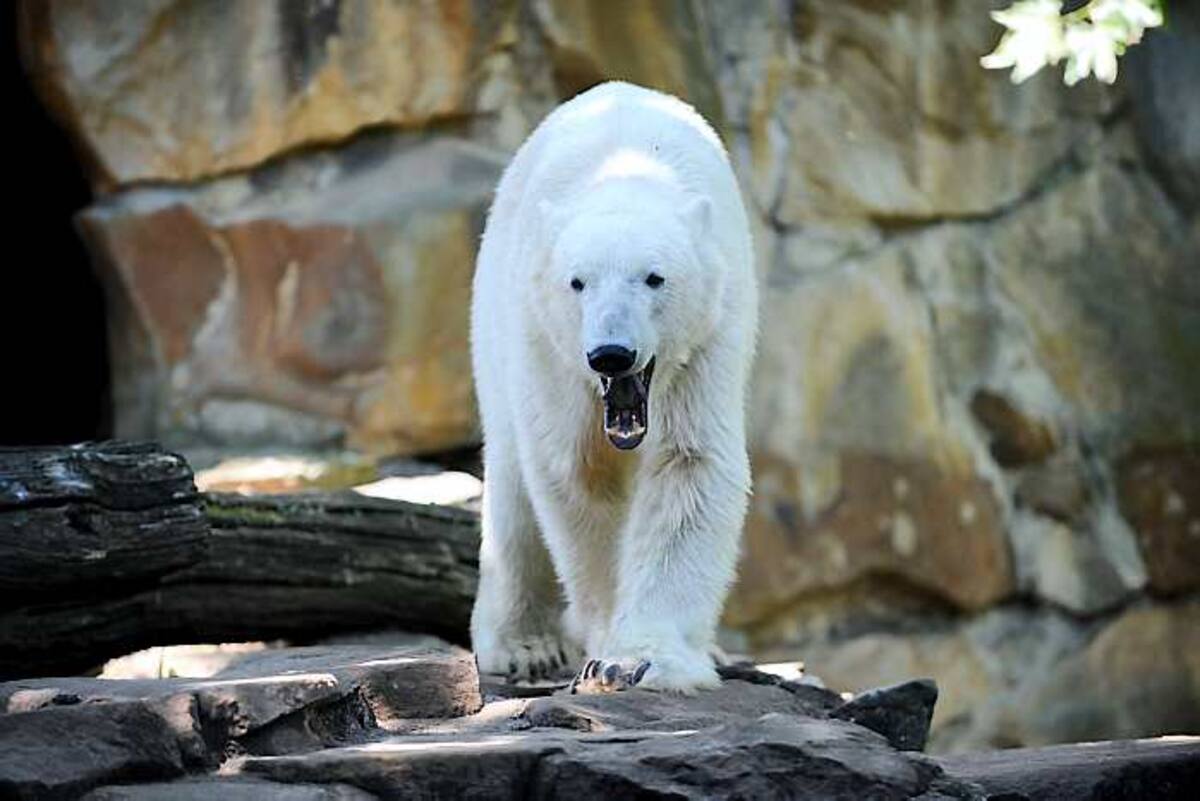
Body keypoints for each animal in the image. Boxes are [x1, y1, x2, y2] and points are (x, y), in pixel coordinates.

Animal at [469, 81, 757, 692]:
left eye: (654, 277)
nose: (611, 354)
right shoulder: (546, 343)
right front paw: (604, 648)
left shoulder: (709, 339)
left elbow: (688, 465)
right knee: (512, 482)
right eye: (577, 281)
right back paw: (523, 645)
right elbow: (578, 473)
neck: (627, 172)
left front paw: (647, 659)